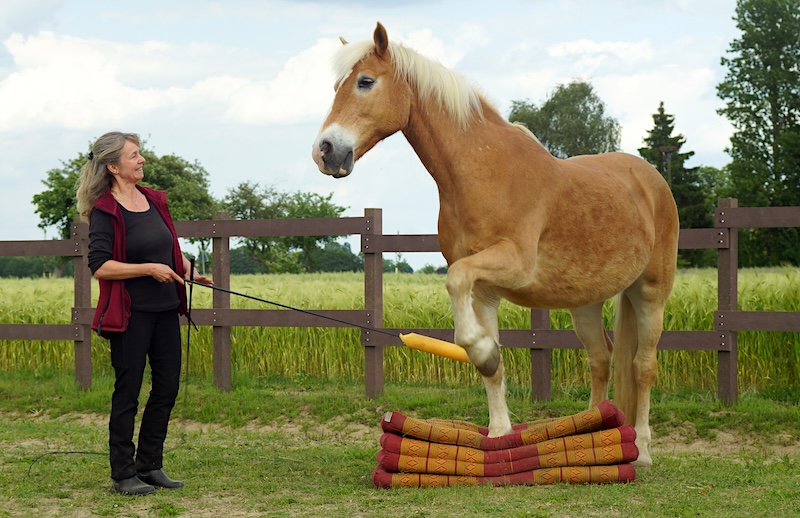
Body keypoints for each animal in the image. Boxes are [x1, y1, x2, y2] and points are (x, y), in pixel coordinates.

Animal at [312, 22, 678, 467]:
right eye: (337, 85)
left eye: (365, 81)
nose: (325, 151)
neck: (483, 171)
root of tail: (650, 178)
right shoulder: (483, 291)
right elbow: (492, 364)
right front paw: (500, 431)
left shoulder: (512, 265)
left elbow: (455, 283)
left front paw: (482, 350)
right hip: (585, 303)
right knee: (601, 359)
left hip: (650, 293)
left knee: (643, 365)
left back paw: (641, 449)